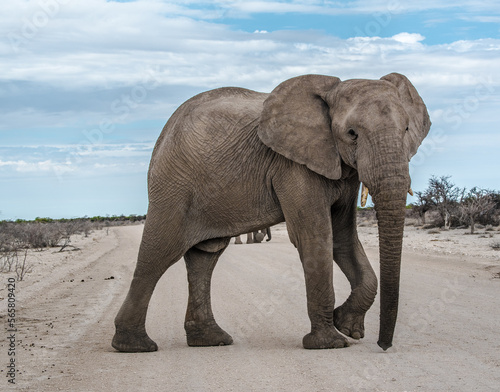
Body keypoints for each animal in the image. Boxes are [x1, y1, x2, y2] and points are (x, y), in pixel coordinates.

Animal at [112, 72, 430, 352]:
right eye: (352, 134)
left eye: (406, 130)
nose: (384, 346)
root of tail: (164, 132)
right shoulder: (292, 165)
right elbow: (315, 236)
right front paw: (330, 343)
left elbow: (343, 238)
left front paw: (348, 326)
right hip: (173, 185)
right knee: (159, 253)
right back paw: (134, 346)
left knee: (205, 256)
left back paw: (211, 340)